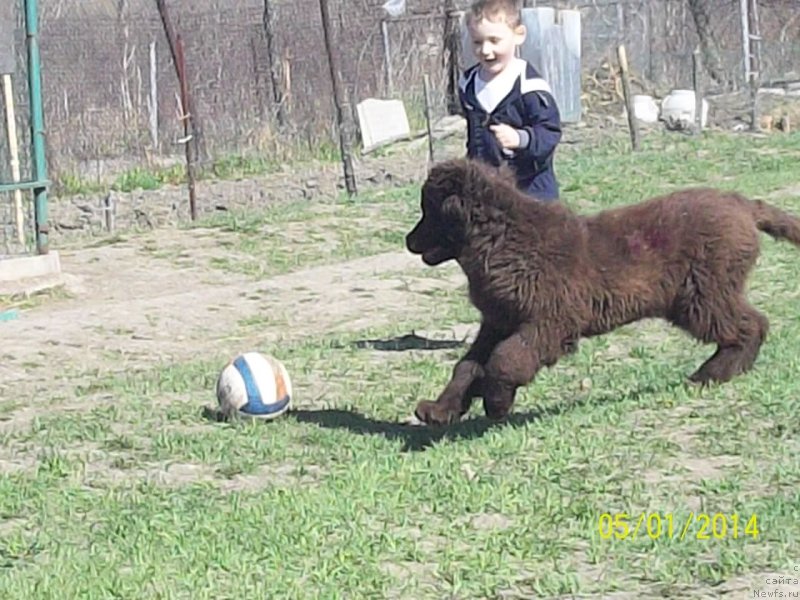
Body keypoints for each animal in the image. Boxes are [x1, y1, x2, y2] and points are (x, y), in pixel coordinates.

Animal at [406, 157, 800, 424]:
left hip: (702, 294)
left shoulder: (550, 321)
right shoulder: (498, 320)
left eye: (428, 211)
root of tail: (743, 204)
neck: (505, 240)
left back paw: (712, 374)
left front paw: (497, 404)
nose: (408, 240)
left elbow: (506, 360)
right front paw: (439, 410)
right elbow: (468, 366)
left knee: (752, 325)